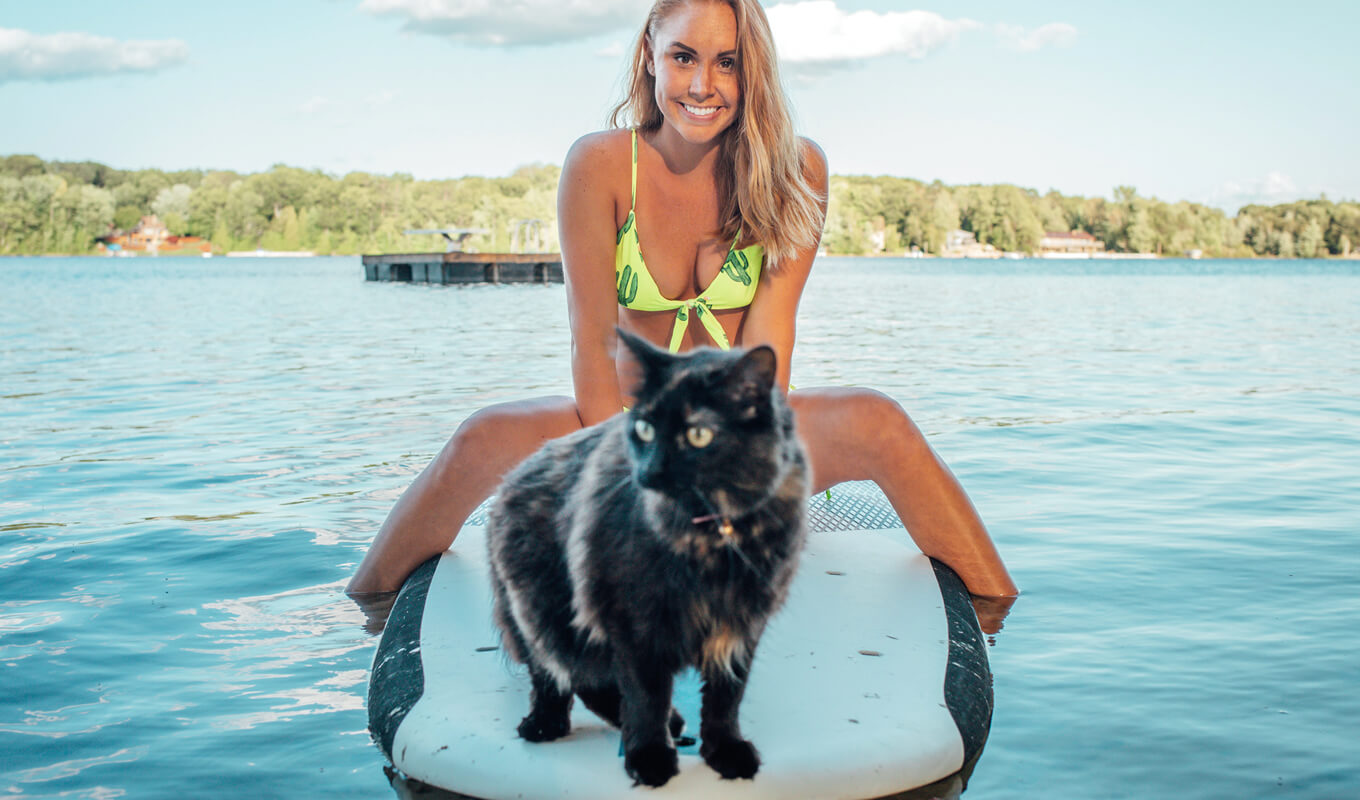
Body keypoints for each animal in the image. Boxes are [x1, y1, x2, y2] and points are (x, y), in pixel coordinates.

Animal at [489, 329, 805, 789]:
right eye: (644, 428)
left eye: (697, 435)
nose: (648, 472)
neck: (712, 538)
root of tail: (511, 478)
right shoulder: (636, 624)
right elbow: (645, 698)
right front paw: (651, 758)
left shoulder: (742, 623)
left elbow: (726, 699)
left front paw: (725, 752)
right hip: (541, 612)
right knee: (558, 676)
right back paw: (546, 724)